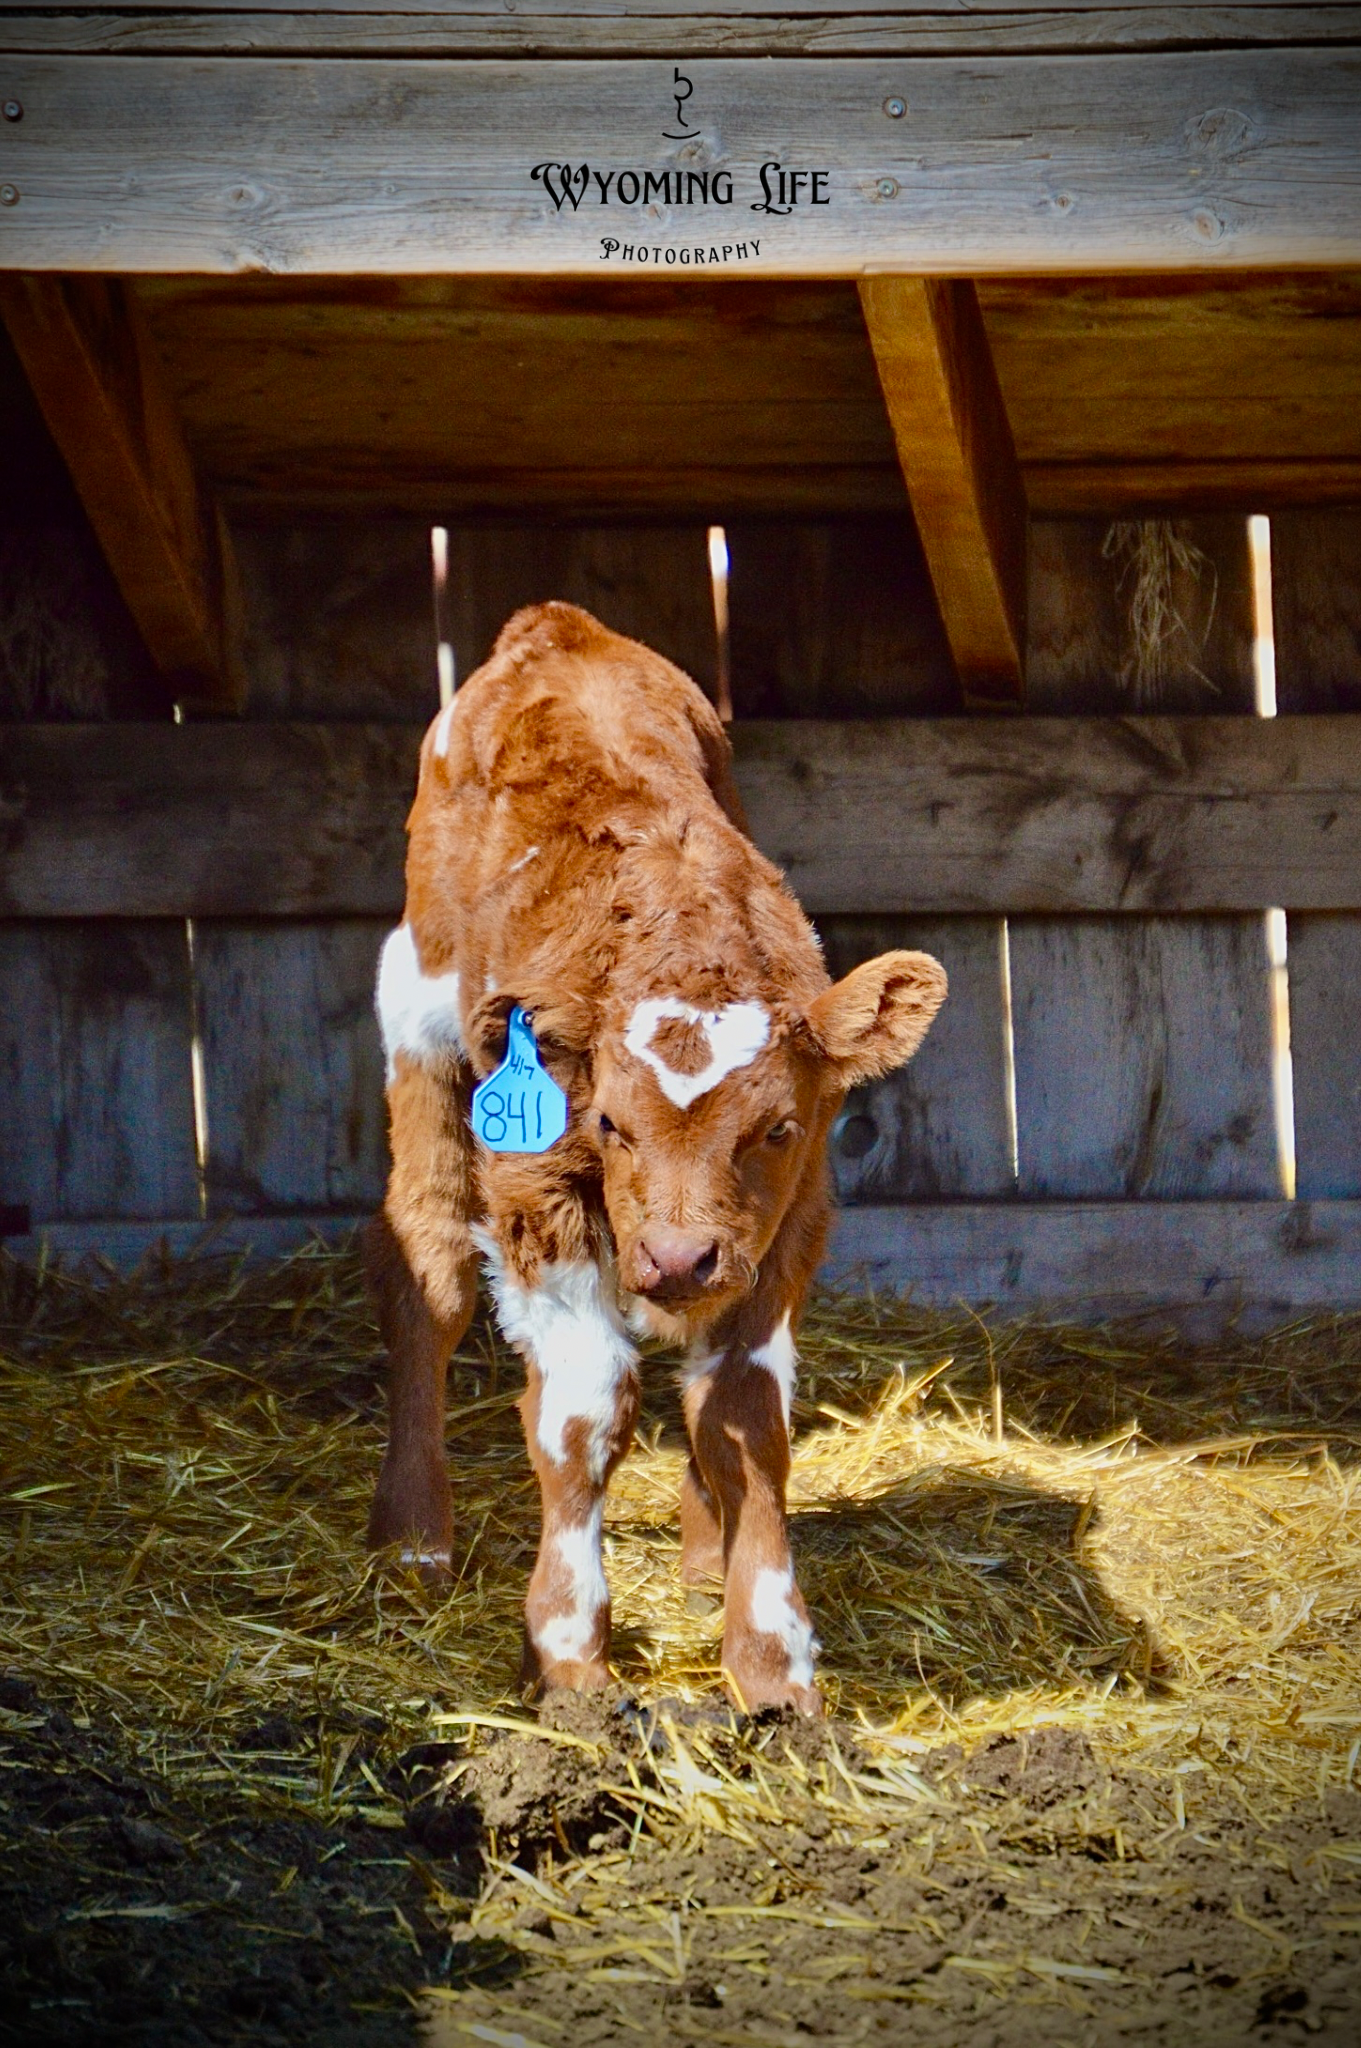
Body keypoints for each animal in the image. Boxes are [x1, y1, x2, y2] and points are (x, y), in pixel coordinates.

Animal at [372, 602, 945, 1712]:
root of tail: (557, 624)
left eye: (776, 1127)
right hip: (416, 1021)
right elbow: (585, 1414)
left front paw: (772, 1665)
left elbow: (743, 1418)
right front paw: (567, 1657)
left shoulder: (788, 1224)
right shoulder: (536, 1198)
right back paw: (412, 1537)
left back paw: (700, 1555)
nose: (678, 1258)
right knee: (428, 1264)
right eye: (607, 1124)